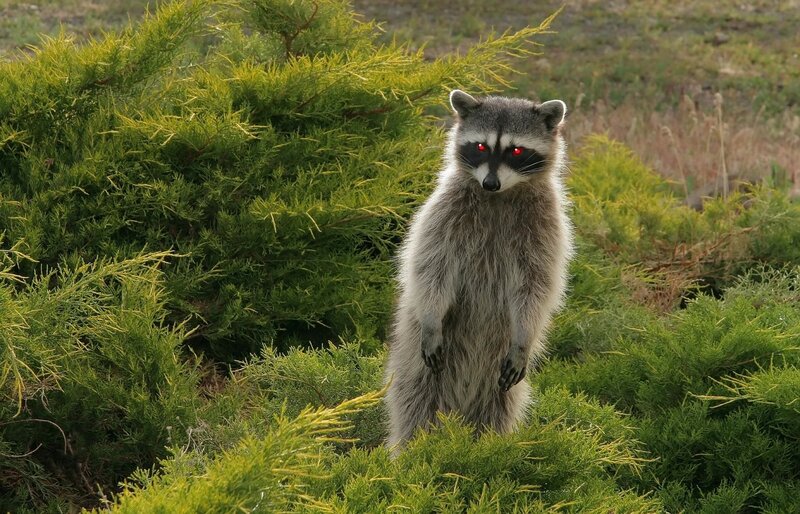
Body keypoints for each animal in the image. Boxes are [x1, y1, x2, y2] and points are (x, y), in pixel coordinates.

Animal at [384, 89, 573, 451]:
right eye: (482, 147)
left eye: (516, 150)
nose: (489, 183)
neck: (500, 197)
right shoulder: (444, 211)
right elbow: (431, 266)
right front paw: (432, 319)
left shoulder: (545, 227)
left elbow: (536, 286)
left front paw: (525, 337)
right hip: (415, 355)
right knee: (415, 398)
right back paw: (413, 450)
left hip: (497, 368)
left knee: (500, 404)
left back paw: (489, 447)